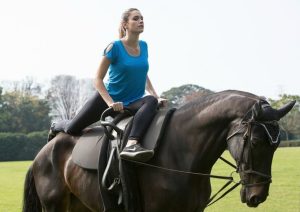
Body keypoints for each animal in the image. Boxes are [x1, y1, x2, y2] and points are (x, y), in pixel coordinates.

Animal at [22, 90, 296, 211]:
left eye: (276, 146)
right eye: (255, 142)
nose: (257, 195)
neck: (182, 155)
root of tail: (41, 155)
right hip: (54, 206)